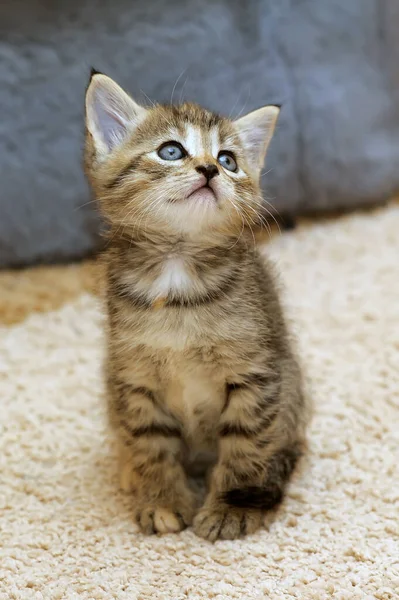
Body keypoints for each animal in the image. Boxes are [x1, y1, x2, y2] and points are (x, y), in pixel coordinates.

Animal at [84, 72, 310, 540]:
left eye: (228, 160)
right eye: (171, 151)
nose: (209, 169)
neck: (178, 276)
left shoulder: (256, 373)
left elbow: (246, 445)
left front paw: (231, 507)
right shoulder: (133, 377)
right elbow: (150, 443)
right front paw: (161, 499)